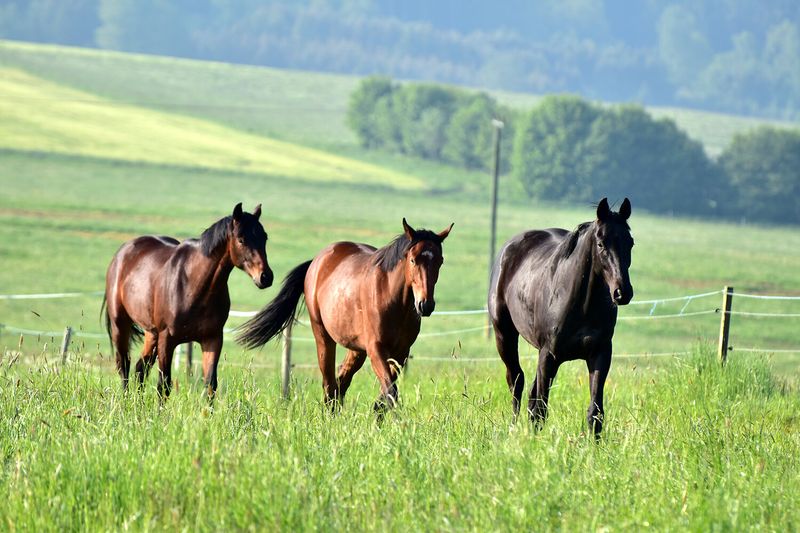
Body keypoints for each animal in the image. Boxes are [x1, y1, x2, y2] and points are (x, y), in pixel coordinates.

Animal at [103, 204, 274, 400]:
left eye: (264, 237)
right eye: (241, 240)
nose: (266, 277)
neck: (195, 285)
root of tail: (123, 252)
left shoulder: (212, 339)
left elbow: (210, 386)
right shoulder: (167, 339)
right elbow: (164, 385)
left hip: (151, 333)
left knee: (140, 368)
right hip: (120, 325)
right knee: (124, 366)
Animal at [236, 216, 450, 412]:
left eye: (440, 261)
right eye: (413, 260)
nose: (425, 305)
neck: (392, 299)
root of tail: (317, 261)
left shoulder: (400, 354)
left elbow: (385, 396)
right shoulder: (376, 349)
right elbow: (390, 392)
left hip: (356, 349)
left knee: (341, 382)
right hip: (324, 337)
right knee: (329, 385)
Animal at [488, 198, 632, 436]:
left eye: (630, 242)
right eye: (601, 244)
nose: (622, 292)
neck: (581, 304)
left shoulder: (600, 353)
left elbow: (595, 412)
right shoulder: (549, 355)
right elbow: (540, 409)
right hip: (504, 335)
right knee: (516, 381)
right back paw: (513, 429)